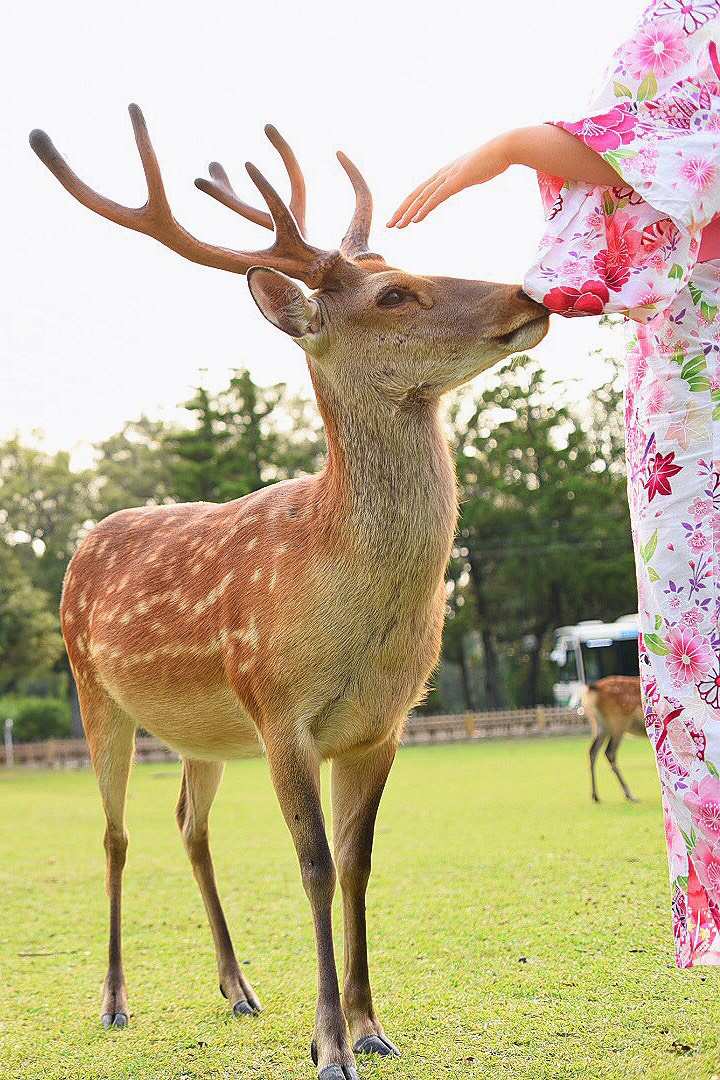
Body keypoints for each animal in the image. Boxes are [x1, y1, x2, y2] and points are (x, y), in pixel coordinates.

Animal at [26, 103, 546, 1080]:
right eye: (393, 295)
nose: (530, 295)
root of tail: (85, 542)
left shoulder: (382, 724)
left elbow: (358, 862)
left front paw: (374, 1025)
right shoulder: (279, 708)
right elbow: (312, 865)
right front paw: (330, 1044)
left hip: (198, 729)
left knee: (188, 823)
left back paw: (239, 988)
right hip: (92, 687)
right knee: (116, 834)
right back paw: (114, 1001)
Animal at [587, 673, 643, 803]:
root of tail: (594, 688)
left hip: (600, 726)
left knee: (592, 751)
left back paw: (595, 796)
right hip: (618, 722)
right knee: (609, 752)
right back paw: (630, 795)